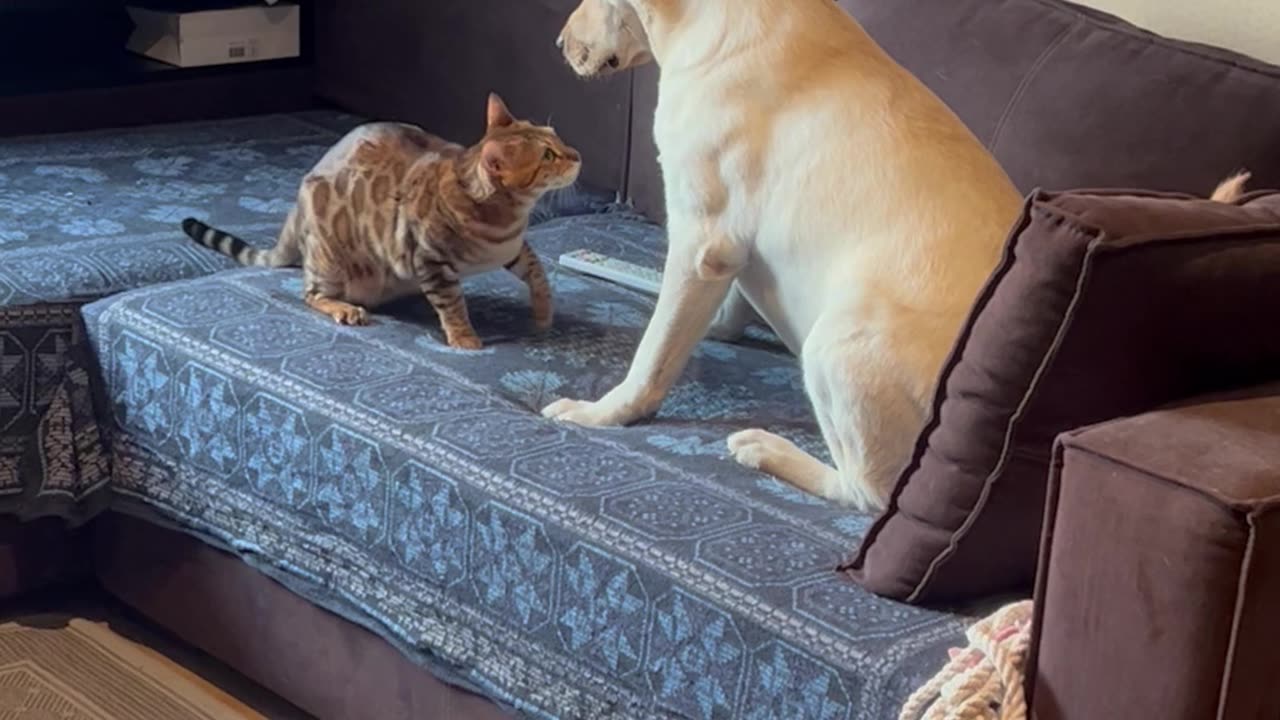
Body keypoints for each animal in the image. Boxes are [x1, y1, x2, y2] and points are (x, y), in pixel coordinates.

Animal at [180, 92, 581, 348]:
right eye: (548, 155)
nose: (577, 154)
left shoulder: (514, 249)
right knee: (310, 294)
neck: (509, 218)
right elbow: (452, 304)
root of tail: (295, 210)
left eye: (556, 137)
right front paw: (465, 338)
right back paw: (344, 308)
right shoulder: (430, 259)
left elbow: (538, 274)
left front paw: (543, 314)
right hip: (329, 258)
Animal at [545, 0, 1024, 507]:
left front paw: (600, 412)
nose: (559, 44)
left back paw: (768, 450)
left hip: (834, 343)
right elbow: (713, 311)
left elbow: (653, 355)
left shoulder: (700, 239)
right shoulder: (729, 255)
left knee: (867, 491)